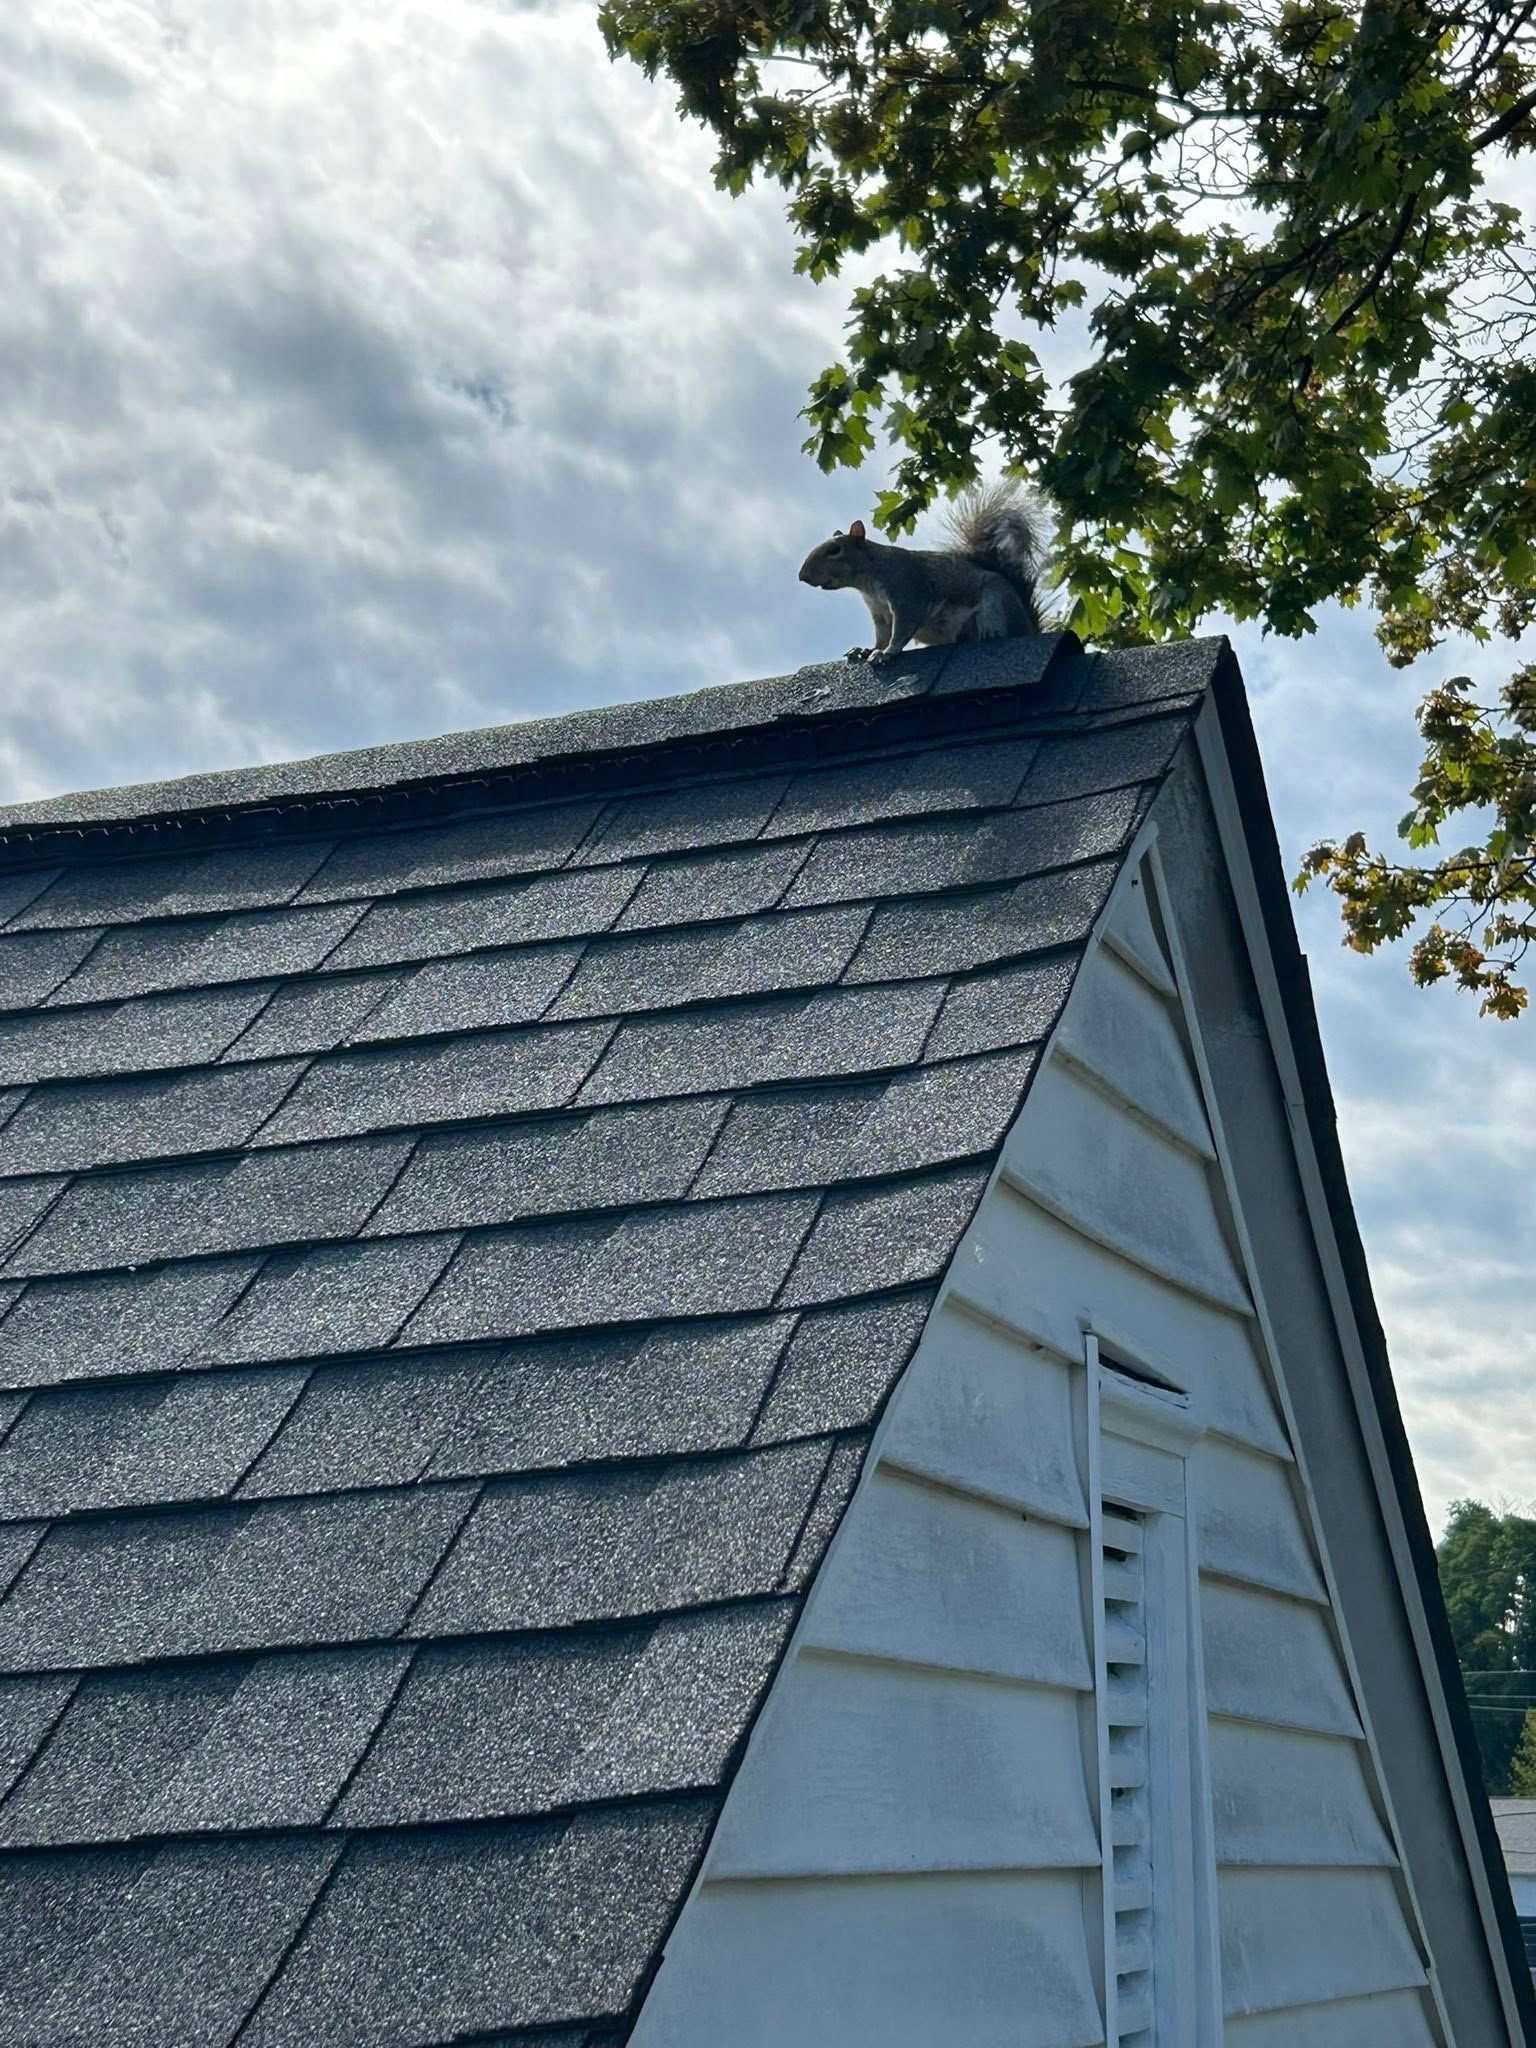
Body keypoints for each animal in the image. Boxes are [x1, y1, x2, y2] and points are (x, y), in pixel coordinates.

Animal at [797, 480, 1048, 665]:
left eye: (834, 550)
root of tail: (1030, 626)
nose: (802, 576)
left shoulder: (906, 590)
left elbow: (901, 629)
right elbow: (882, 635)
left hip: (997, 600)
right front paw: (866, 650)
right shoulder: (880, 613)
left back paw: (991, 634)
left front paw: (886, 653)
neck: (868, 581)